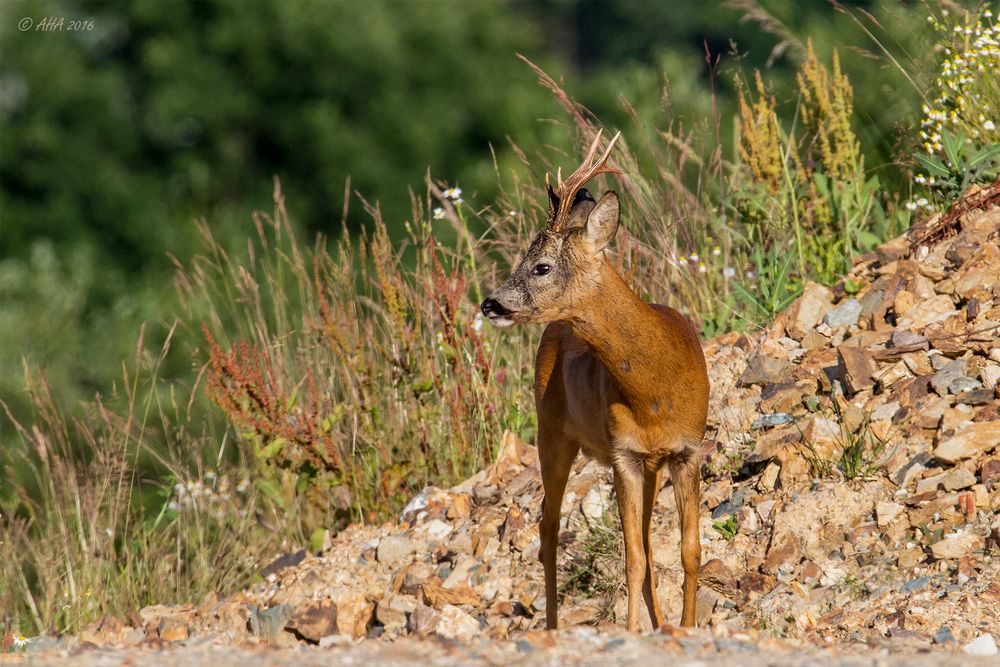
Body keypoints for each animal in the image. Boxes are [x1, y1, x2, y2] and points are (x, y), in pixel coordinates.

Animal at [478, 130, 708, 632]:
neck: (656, 392)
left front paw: (686, 628)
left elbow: (687, 552)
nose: (489, 304)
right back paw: (553, 626)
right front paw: (632, 631)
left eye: (541, 266)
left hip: (647, 465)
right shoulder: (622, 453)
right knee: (548, 528)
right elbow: (634, 558)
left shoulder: (686, 450)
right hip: (551, 430)